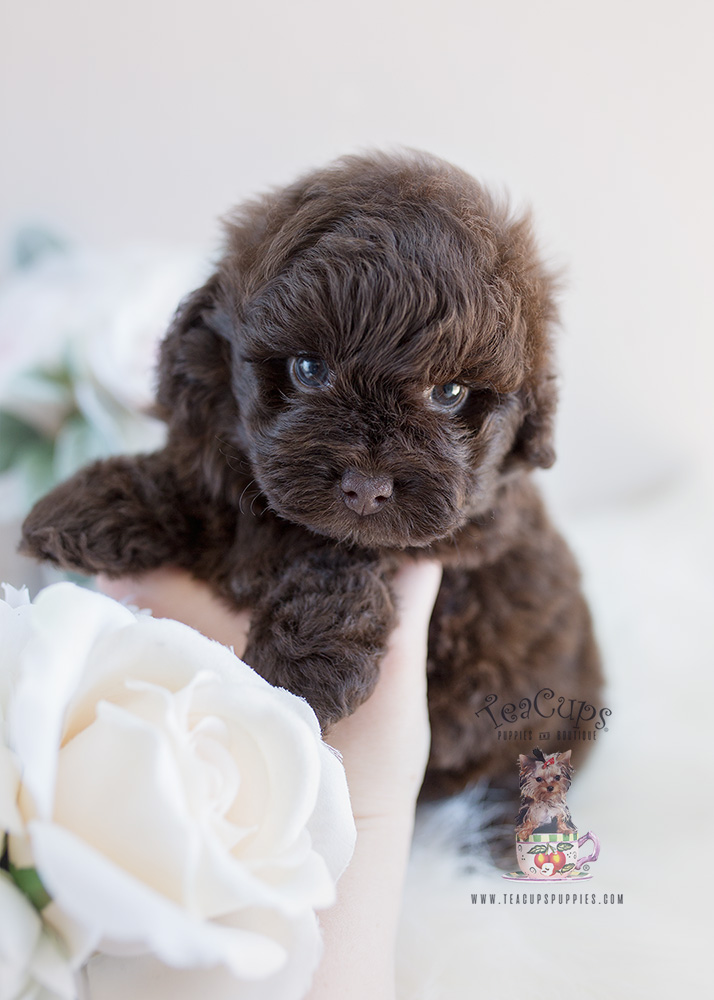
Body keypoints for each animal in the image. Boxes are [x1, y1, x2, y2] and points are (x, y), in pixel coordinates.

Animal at [20, 150, 600, 796]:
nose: (366, 488)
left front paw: (297, 677)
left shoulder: (461, 547)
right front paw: (90, 505)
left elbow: (341, 556)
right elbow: (196, 483)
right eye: (307, 369)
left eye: (449, 393)